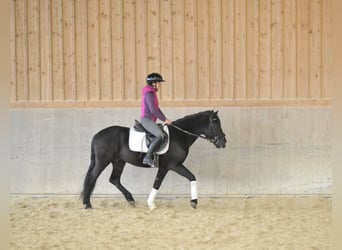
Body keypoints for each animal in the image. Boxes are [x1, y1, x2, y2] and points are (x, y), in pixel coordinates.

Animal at [81, 109, 227, 209]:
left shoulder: (166, 167)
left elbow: (158, 183)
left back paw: (130, 200)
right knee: (92, 177)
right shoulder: (173, 165)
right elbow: (187, 177)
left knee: (114, 179)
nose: (223, 142)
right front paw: (194, 202)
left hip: (118, 162)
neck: (179, 136)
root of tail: (97, 135)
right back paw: (87, 204)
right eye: (215, 123)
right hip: (103, 161)